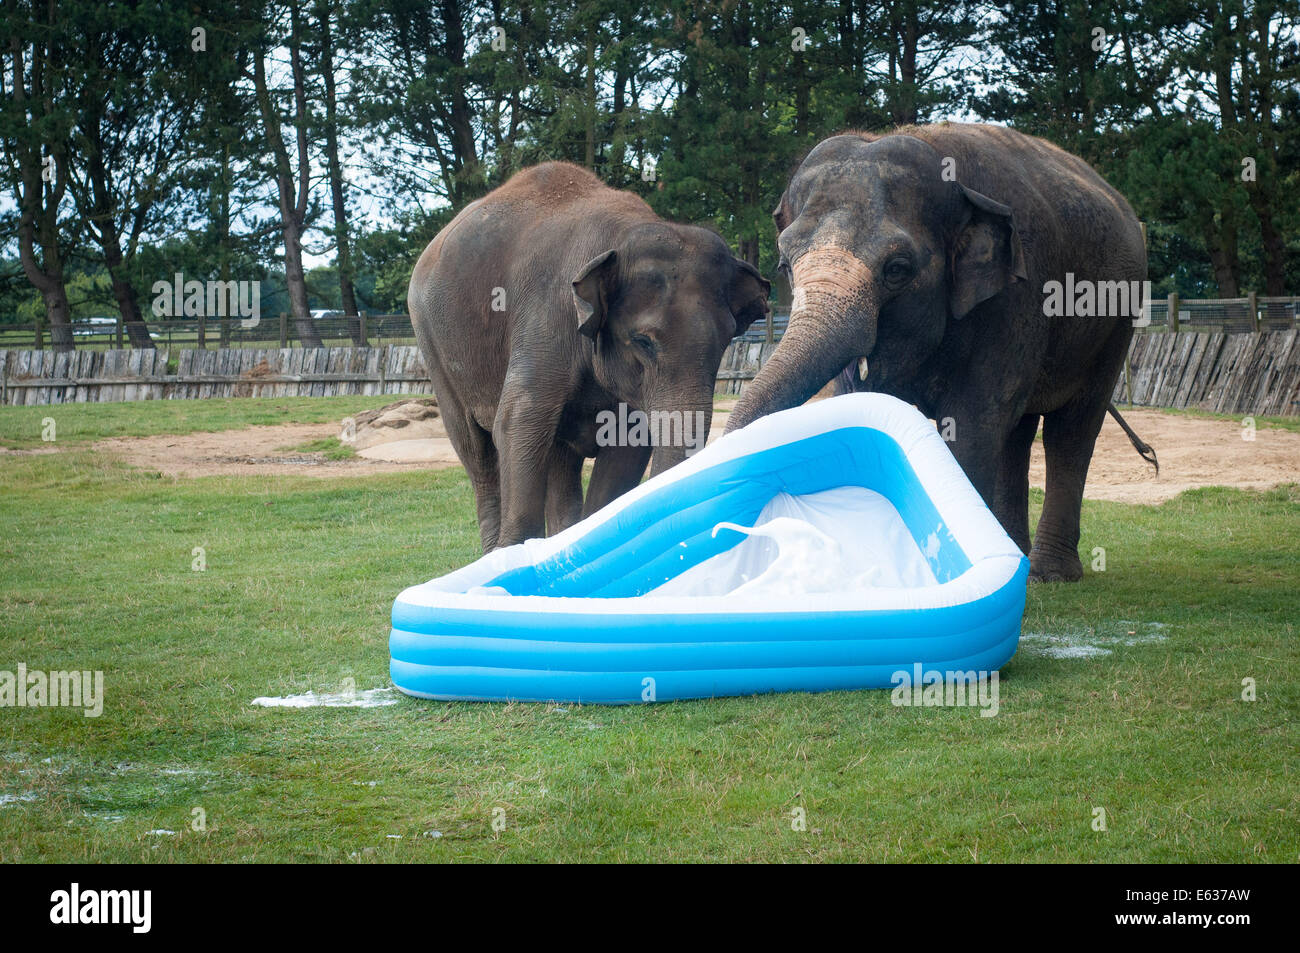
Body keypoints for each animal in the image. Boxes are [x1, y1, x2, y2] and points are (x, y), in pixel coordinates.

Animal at [410, 161, 764, 551]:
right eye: (642, 342)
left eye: (727, 340)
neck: (620, 235)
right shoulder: (546, 316)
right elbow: (518, 424)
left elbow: (629, 446)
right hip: (432, 343)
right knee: (478, 453)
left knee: (559, 459)